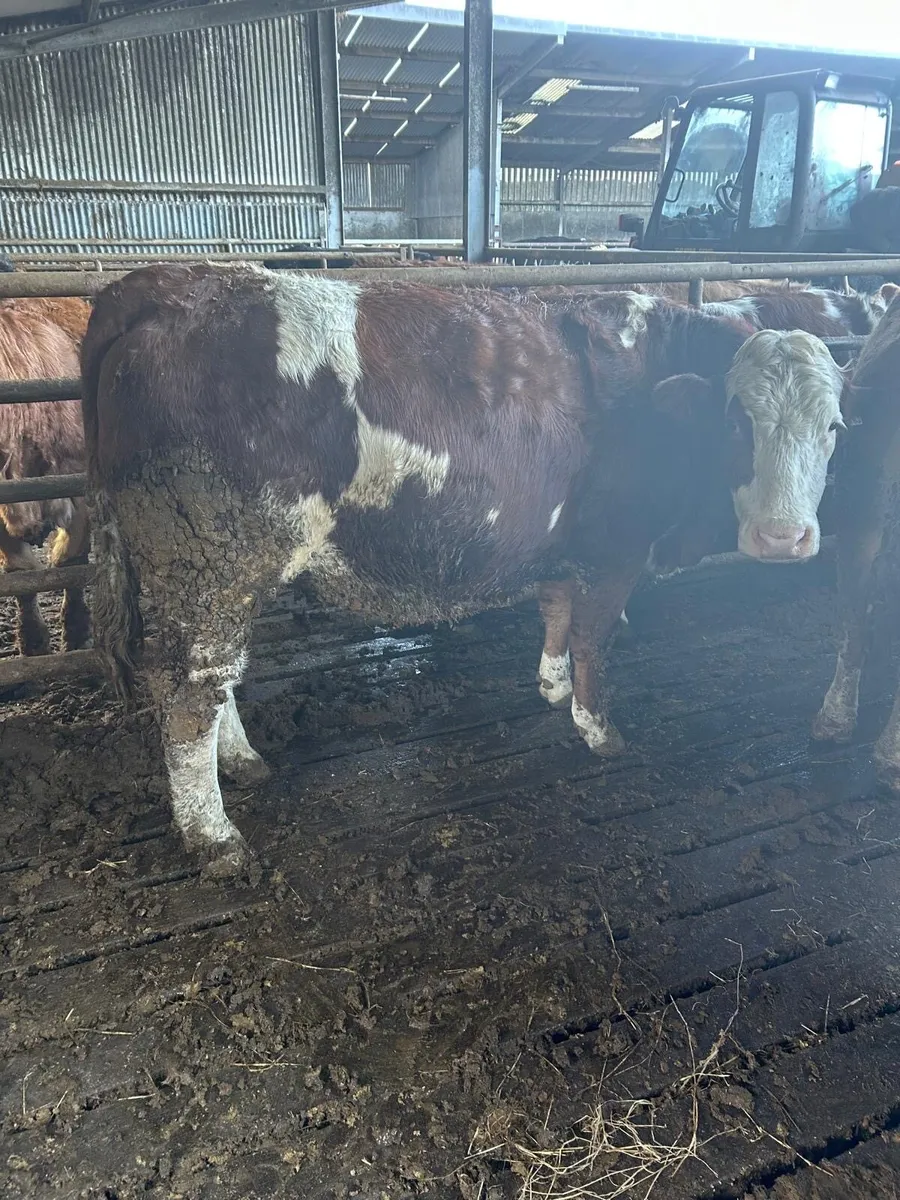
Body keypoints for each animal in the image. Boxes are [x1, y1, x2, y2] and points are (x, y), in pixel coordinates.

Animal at [81, 265, 842, 872]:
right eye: (739, 420)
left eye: (834, 426)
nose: (783, 538)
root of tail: (168, 283)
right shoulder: (618, 548)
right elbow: (595, 637)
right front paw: (598, 728)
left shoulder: (561, 540)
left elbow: (556, 608)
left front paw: (550, 685)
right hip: (209, 556)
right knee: (189, 691)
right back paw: (214, 839)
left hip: (221, 573)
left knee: (218, 678)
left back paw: (241, 762)